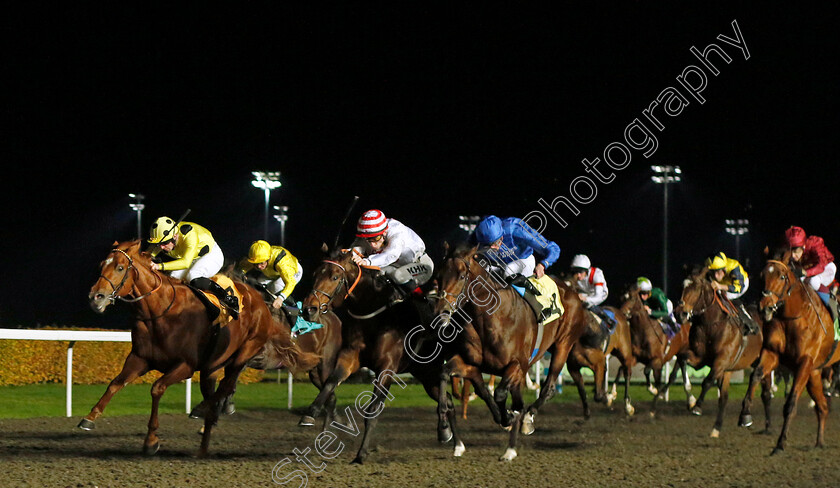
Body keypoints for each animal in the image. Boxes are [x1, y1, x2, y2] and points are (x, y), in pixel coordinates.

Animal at [84, 240, 322, 458]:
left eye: (120, 267)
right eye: (101, 265)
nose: (96, 297)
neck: (162, 311)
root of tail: (261, 303)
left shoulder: (185, 365)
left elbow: (157, 388)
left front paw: (151, 440)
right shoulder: (139, 358)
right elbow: (115, 384)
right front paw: (89, 418)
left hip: (243, 354)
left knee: (225, 388)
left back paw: (202, 411)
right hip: (212, 367)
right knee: (216, 391)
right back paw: (203, 445)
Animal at [430, 244, 588, 462]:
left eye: (462, 276)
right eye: (438, 275)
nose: (440, 312)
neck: (491, 318)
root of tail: (571, 291)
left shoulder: (517, 365)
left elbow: (500, 394)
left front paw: (508, 419)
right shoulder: (470, 363)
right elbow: (444, 373)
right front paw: (443, 427)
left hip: (563, 345)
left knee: (547, 388)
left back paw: (525, 422)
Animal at [668, 266, 768, 438]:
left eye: (696, 288)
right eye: (681, 287)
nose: (679, 314)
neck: (711, 324)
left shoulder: (721, 361)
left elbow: (707, 381)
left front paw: (697, 407)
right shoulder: (700, 358)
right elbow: (682, 359)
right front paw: (691, 400)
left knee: (756, 381)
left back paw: (747, 416)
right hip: (730, 370)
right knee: (729, 397)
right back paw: (720, 427)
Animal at [736, 254, 840, 456]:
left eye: (782, 277)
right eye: (761, 275)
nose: (765, 307)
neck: (794, 317)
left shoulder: (804, 363)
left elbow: (791, 403)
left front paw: (780, 444)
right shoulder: (772, 353)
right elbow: (755, 375)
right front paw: (745, 415)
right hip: (814, 375)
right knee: (822, 407)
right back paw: (820, 442)